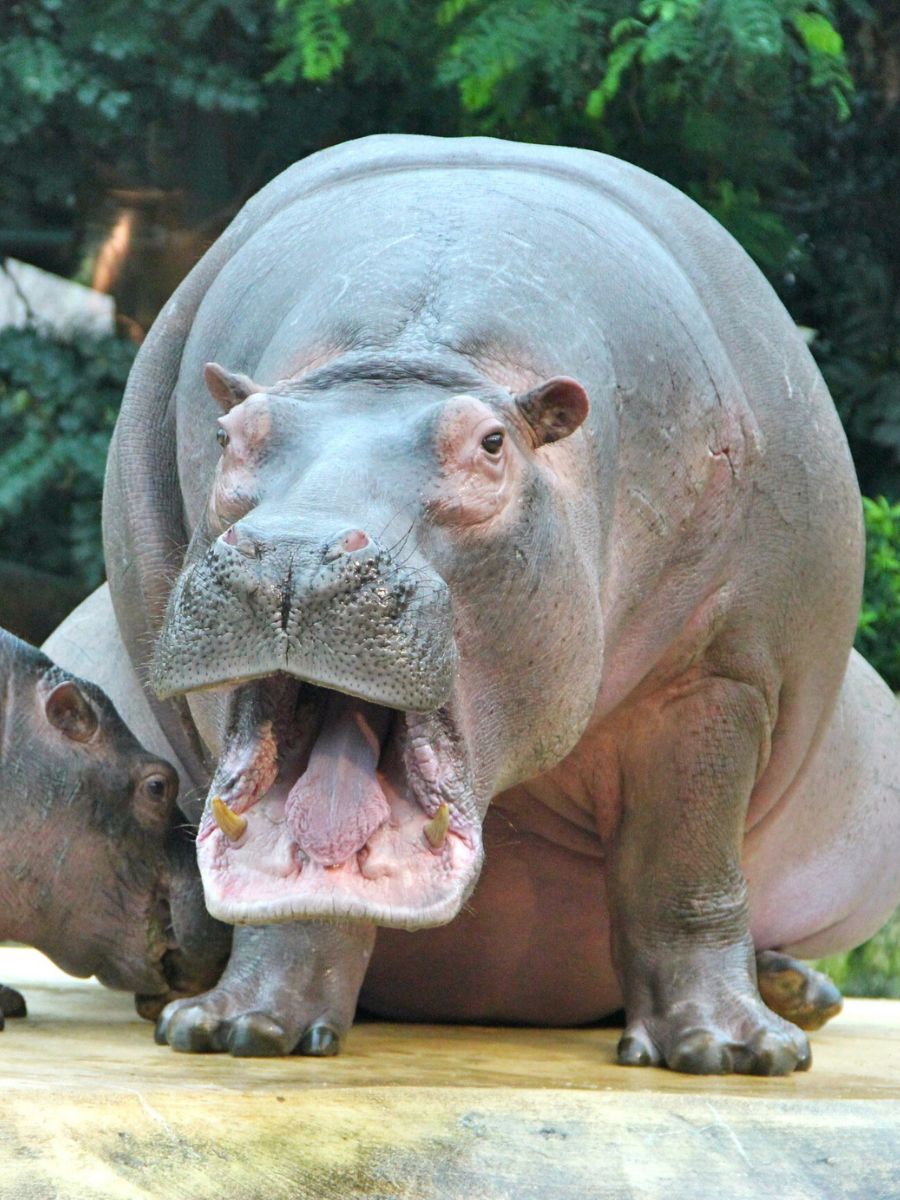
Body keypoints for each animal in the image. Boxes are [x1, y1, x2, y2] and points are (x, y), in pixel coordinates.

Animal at [46, 135, 900, 1073]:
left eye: (491, 445)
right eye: (232, 436)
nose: (295, 552)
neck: (409, 354)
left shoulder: (723, 674)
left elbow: (683, 866)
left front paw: (729, 1051)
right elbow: (294, 902)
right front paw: (237, 1028)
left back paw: (797, 995)